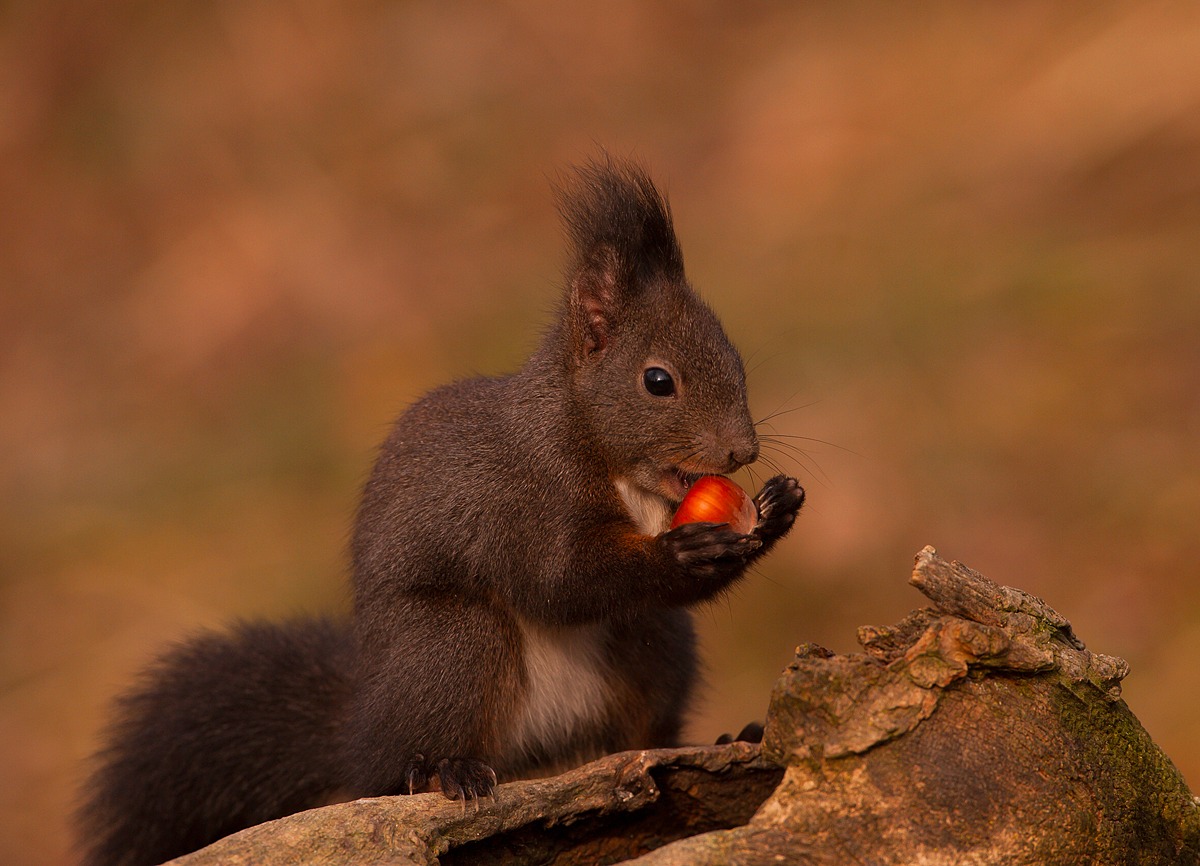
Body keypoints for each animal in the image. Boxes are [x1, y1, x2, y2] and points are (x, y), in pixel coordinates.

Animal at [75, 158, 806, 866]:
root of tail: (363, 727)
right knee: (407, 761)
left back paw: (718, 739)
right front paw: (687, 551)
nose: (743, 450)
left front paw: (777, 510)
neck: (615, 467)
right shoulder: (516, 501)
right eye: (658, 381)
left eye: (736, 358)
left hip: (653, 644)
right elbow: (560, 580)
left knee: (640, 731)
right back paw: (447, 771)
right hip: (453, 647)